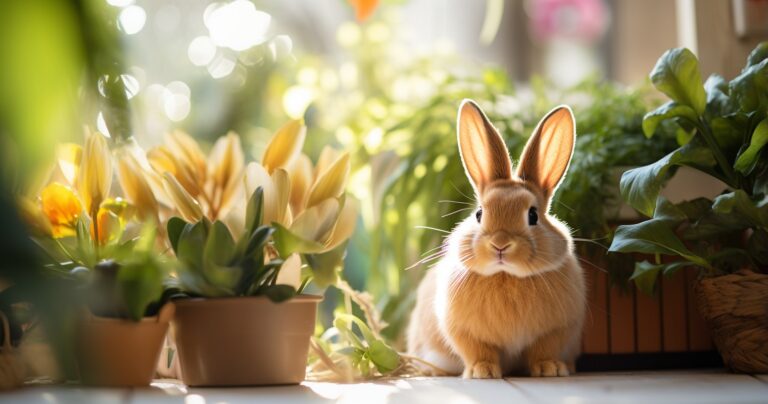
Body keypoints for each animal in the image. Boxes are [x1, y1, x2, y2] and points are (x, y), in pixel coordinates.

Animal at [407, 99, 586, 379]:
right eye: (479, 214)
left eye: (533, 215)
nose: (500, 245)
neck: (506, 275)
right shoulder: (464, 332)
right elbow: (478, 351)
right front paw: (483, 372)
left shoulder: (557, 329)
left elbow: (543, 349)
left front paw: (550, 369)